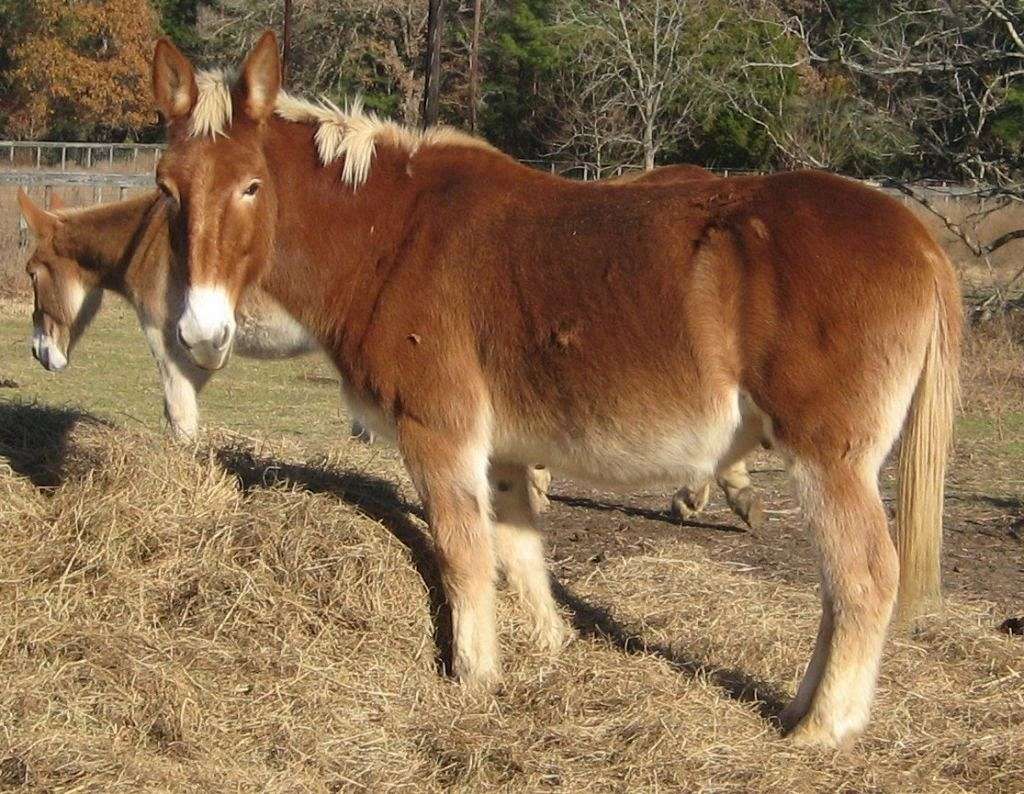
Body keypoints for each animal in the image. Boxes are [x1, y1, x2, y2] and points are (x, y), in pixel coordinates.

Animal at [151, 33, 961, 747]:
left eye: (252, 186)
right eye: (167, 191)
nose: (200, 333)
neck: (394, 237)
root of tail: (920, 239)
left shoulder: (438, 434)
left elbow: (464, 557)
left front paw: (474, 682)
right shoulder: (505, 453)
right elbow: (519, 555)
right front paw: (547, 652)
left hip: (830, 459)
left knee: (864, 579)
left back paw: (825, 730)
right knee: (837, 586)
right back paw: (800, 710)